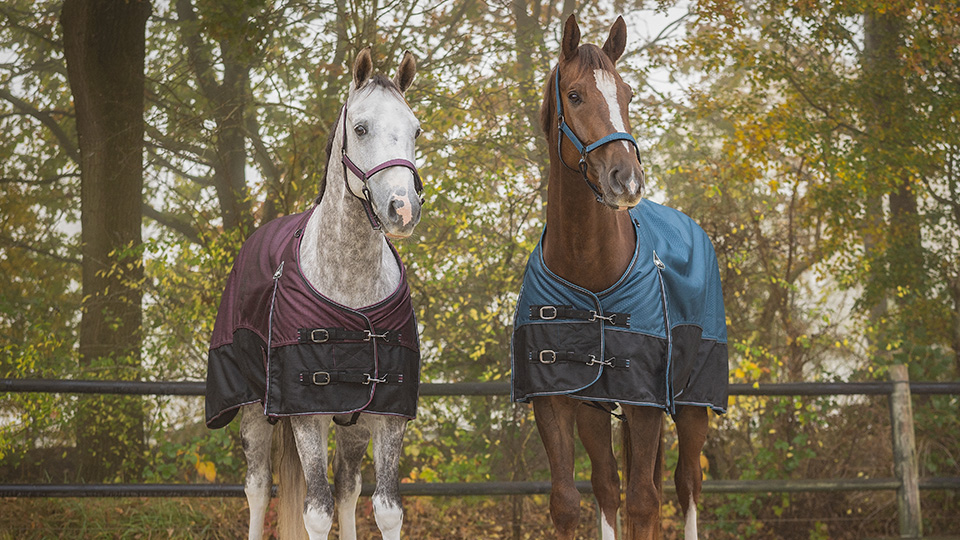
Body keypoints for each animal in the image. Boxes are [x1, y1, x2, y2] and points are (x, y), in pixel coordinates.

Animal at [204, 48, 424, 540]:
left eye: (416, 129)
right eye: (360, 128)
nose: (402, 208)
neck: (351, 286)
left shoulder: (387, 414)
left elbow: (385, 508)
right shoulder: (306, 414)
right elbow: (316, 512)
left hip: (351, 423)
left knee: (346, 489)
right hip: (255, 413)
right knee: (258, 489)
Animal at [510, 15, 728, 540]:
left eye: (627, 94)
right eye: (574, 94)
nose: (626, 180)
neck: (588, 266)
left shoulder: (646, 403)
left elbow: (645, 504)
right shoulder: (556, 399)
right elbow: (570, 502)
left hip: (693, 404)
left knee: (686, 484)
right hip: (597, 406)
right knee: (609, 486)